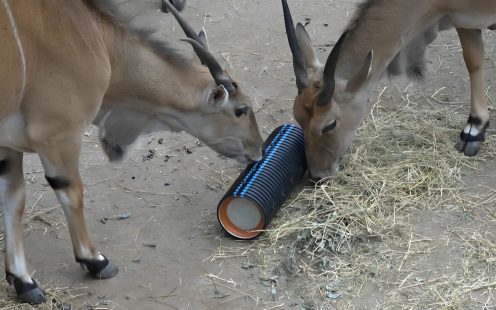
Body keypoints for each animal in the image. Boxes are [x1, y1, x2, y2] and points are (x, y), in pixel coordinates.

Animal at [0, 0, 264, 302]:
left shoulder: (7, 144)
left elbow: (13, 199)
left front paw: (23, 281)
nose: (259, 149)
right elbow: (72, 194)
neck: (97, 41)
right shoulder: (58, 134)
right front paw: (95, 261)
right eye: (240, 110)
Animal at [280, 0, 496, 179]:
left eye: (330, 124)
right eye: (297, 116)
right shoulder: (461, 18)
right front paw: (475, 129)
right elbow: (473, 59)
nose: (317, 175)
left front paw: (474, 130)